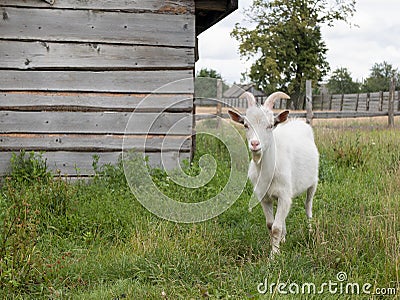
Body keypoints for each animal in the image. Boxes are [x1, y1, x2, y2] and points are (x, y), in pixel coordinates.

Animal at [228, 91, 318, 255]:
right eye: (245, 125)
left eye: (270, 125)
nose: (255, 144)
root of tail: (298, 122)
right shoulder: (264, 197)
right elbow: (271, 224)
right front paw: (277, 246)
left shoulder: (285, 195)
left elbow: (276, 227)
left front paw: (274, 256)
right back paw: (284, 239)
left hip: (313, 182)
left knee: (308, 206)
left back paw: (310, 231)